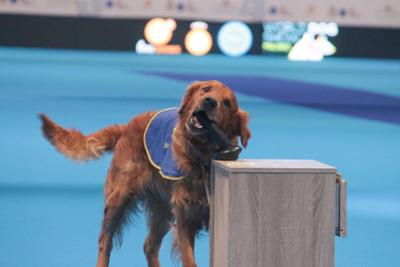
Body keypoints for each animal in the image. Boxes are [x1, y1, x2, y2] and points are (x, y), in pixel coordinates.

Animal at [38, 81, 250, 267]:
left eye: (227, 103)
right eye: (205, 89)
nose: (209, 101)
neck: (201, 157)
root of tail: (126, 126)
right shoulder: (185, 216)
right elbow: (189, 259)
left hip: (161, 209)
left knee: (149, 245)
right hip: (119, 198)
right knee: (104, 241)